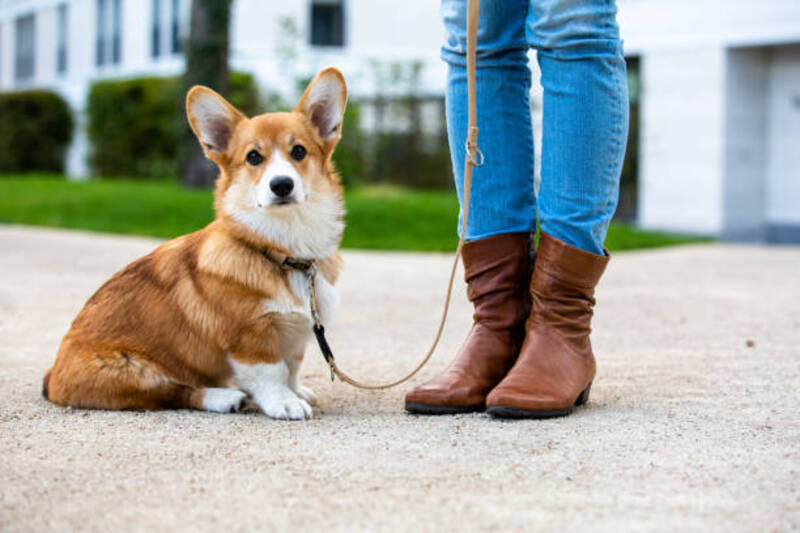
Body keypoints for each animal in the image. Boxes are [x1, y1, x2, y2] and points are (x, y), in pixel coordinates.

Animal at [41, 66, 346, 418]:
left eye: (298, 151)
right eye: (254, 157)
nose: (281, 185)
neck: (283, 249)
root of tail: (53, 376)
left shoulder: (296, 335)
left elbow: (292, 366)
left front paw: (296, 391)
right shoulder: (249, 337)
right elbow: (271, 372)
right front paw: (284, 402)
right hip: (133, 370)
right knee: (176, 392)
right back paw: (224, 397)